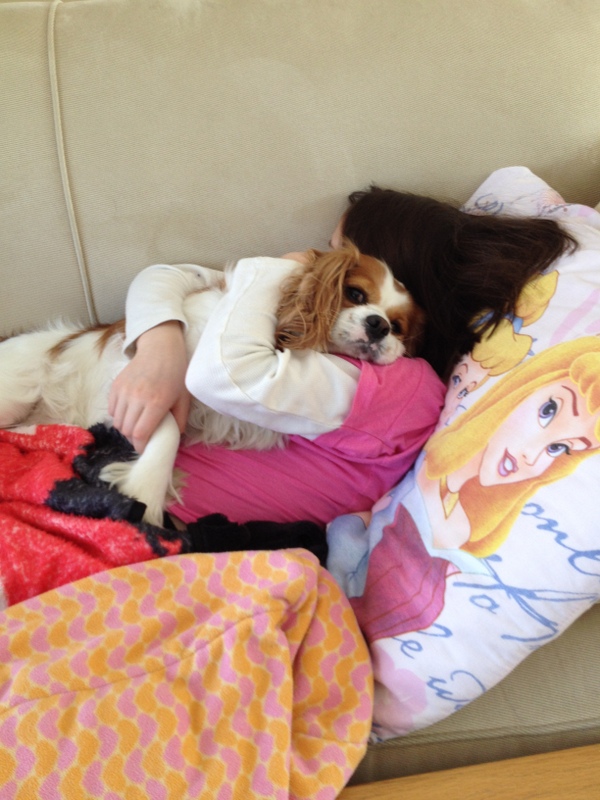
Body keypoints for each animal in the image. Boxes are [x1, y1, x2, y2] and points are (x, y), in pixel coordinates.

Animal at [0, 242, 424, 525]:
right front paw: (144, 493)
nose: (379, 325)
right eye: (354, 293)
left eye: (398, 327)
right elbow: (167, 423)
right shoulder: (149, 371)